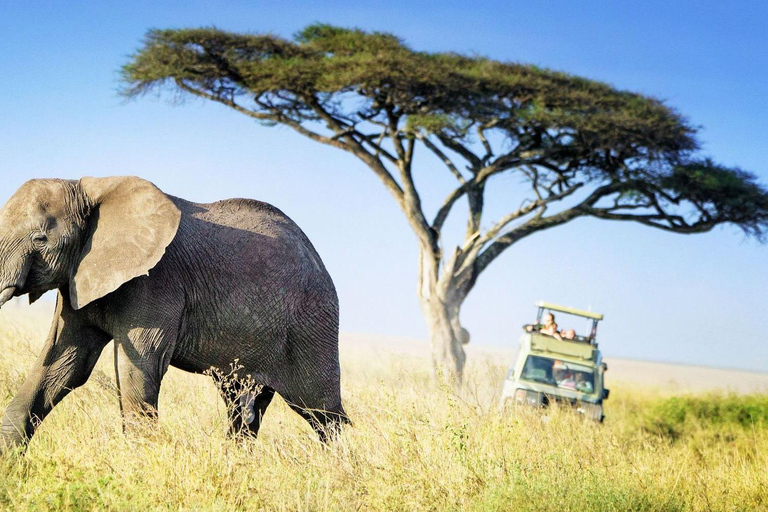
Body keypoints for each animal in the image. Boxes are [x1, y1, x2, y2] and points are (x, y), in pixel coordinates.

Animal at [0, 176, 348, 448]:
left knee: (322, 411)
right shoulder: (78, 278)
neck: (88, 188)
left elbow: (139, 368)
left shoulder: (156, 282)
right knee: (243, 408)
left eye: (40, 239)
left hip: (312, 321)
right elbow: (61, 365)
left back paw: (338, 468)